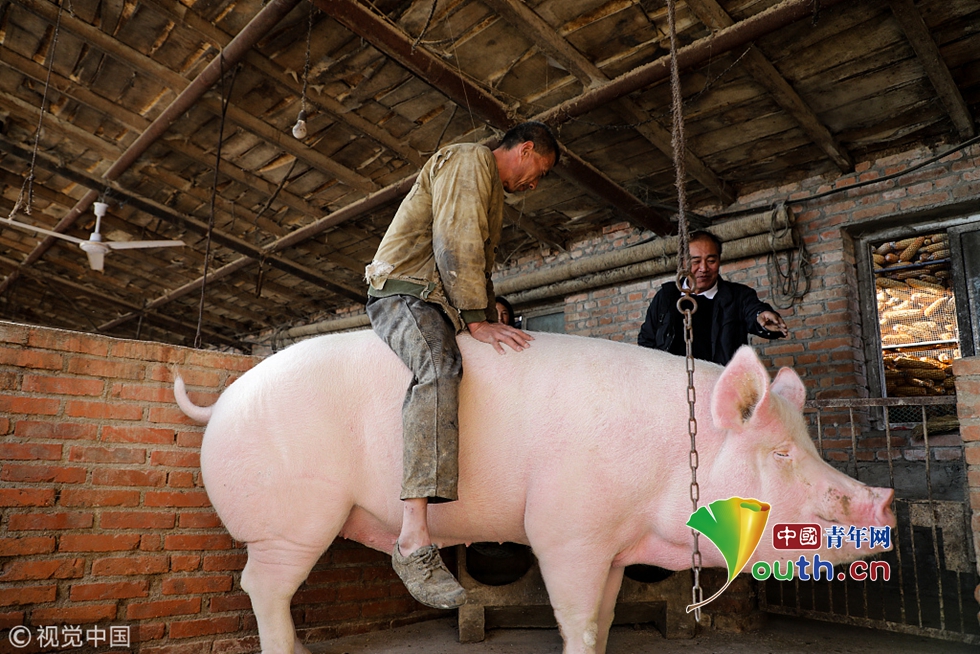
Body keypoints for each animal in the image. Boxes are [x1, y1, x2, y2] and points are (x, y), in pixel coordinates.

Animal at [174, 329, 895, 654]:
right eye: (780, 453)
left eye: (809, 446)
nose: (885, 500)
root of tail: (222, 402)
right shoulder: (566, 527)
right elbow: (574, 614)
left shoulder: (612, 542)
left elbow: (605, 613)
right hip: (292, 520)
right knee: (263, 587)